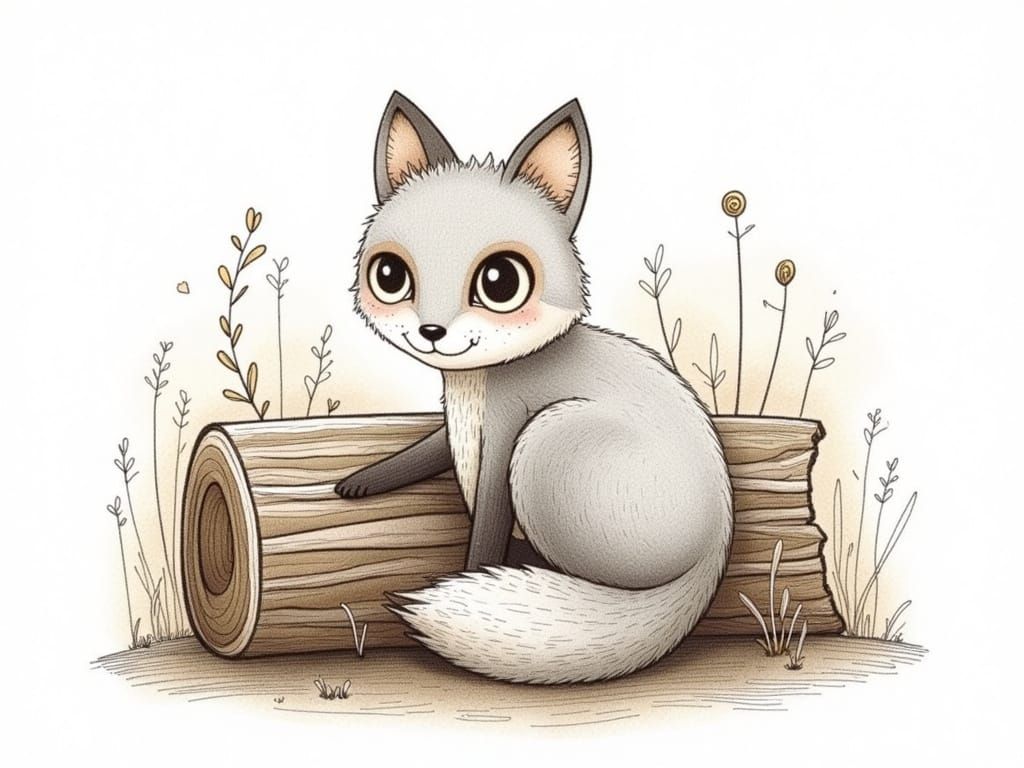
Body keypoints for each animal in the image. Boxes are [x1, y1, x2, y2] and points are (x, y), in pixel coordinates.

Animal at [334, 92, 733, 684]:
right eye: (390, 276)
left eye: (500, 281)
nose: (432, 332)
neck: (473, 388)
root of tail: (715, 546)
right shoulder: (456, 426)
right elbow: (422, 451)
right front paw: (365, 479)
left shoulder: (506, 434)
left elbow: (486, 524)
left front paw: (474, 572)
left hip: (547, 437)